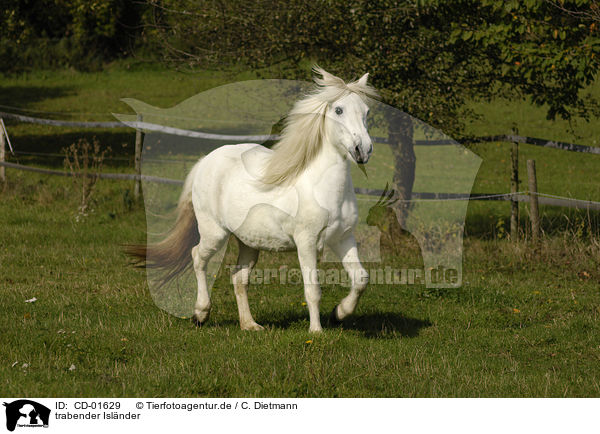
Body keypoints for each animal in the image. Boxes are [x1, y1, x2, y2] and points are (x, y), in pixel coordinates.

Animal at [129, 67, 378, 332]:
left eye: (366, 111)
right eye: (339, 110)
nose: (363, 150)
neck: (323, 189)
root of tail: (204, 162)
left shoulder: (343, 238)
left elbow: (361, 279)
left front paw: (339, 314)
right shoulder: (306, 242)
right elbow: (313, 290)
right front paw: (317, 331)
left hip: (249, 241)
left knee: (239, 277)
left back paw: (250, 325)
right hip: (214, 233)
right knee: (197, 257)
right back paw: (200, 313)